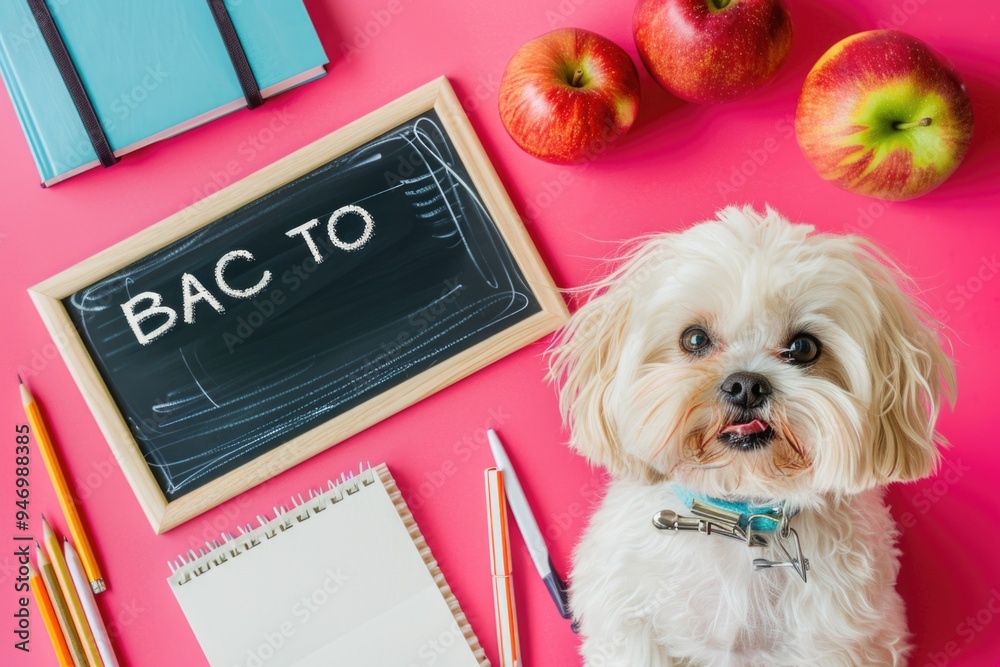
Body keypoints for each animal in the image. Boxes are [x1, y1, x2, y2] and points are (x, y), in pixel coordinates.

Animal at [552, 206, 956, 664]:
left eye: (803, 347)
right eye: (695, 338)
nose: (745, 384)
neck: (740, 515)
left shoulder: (842, 642)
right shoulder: (625, 620)